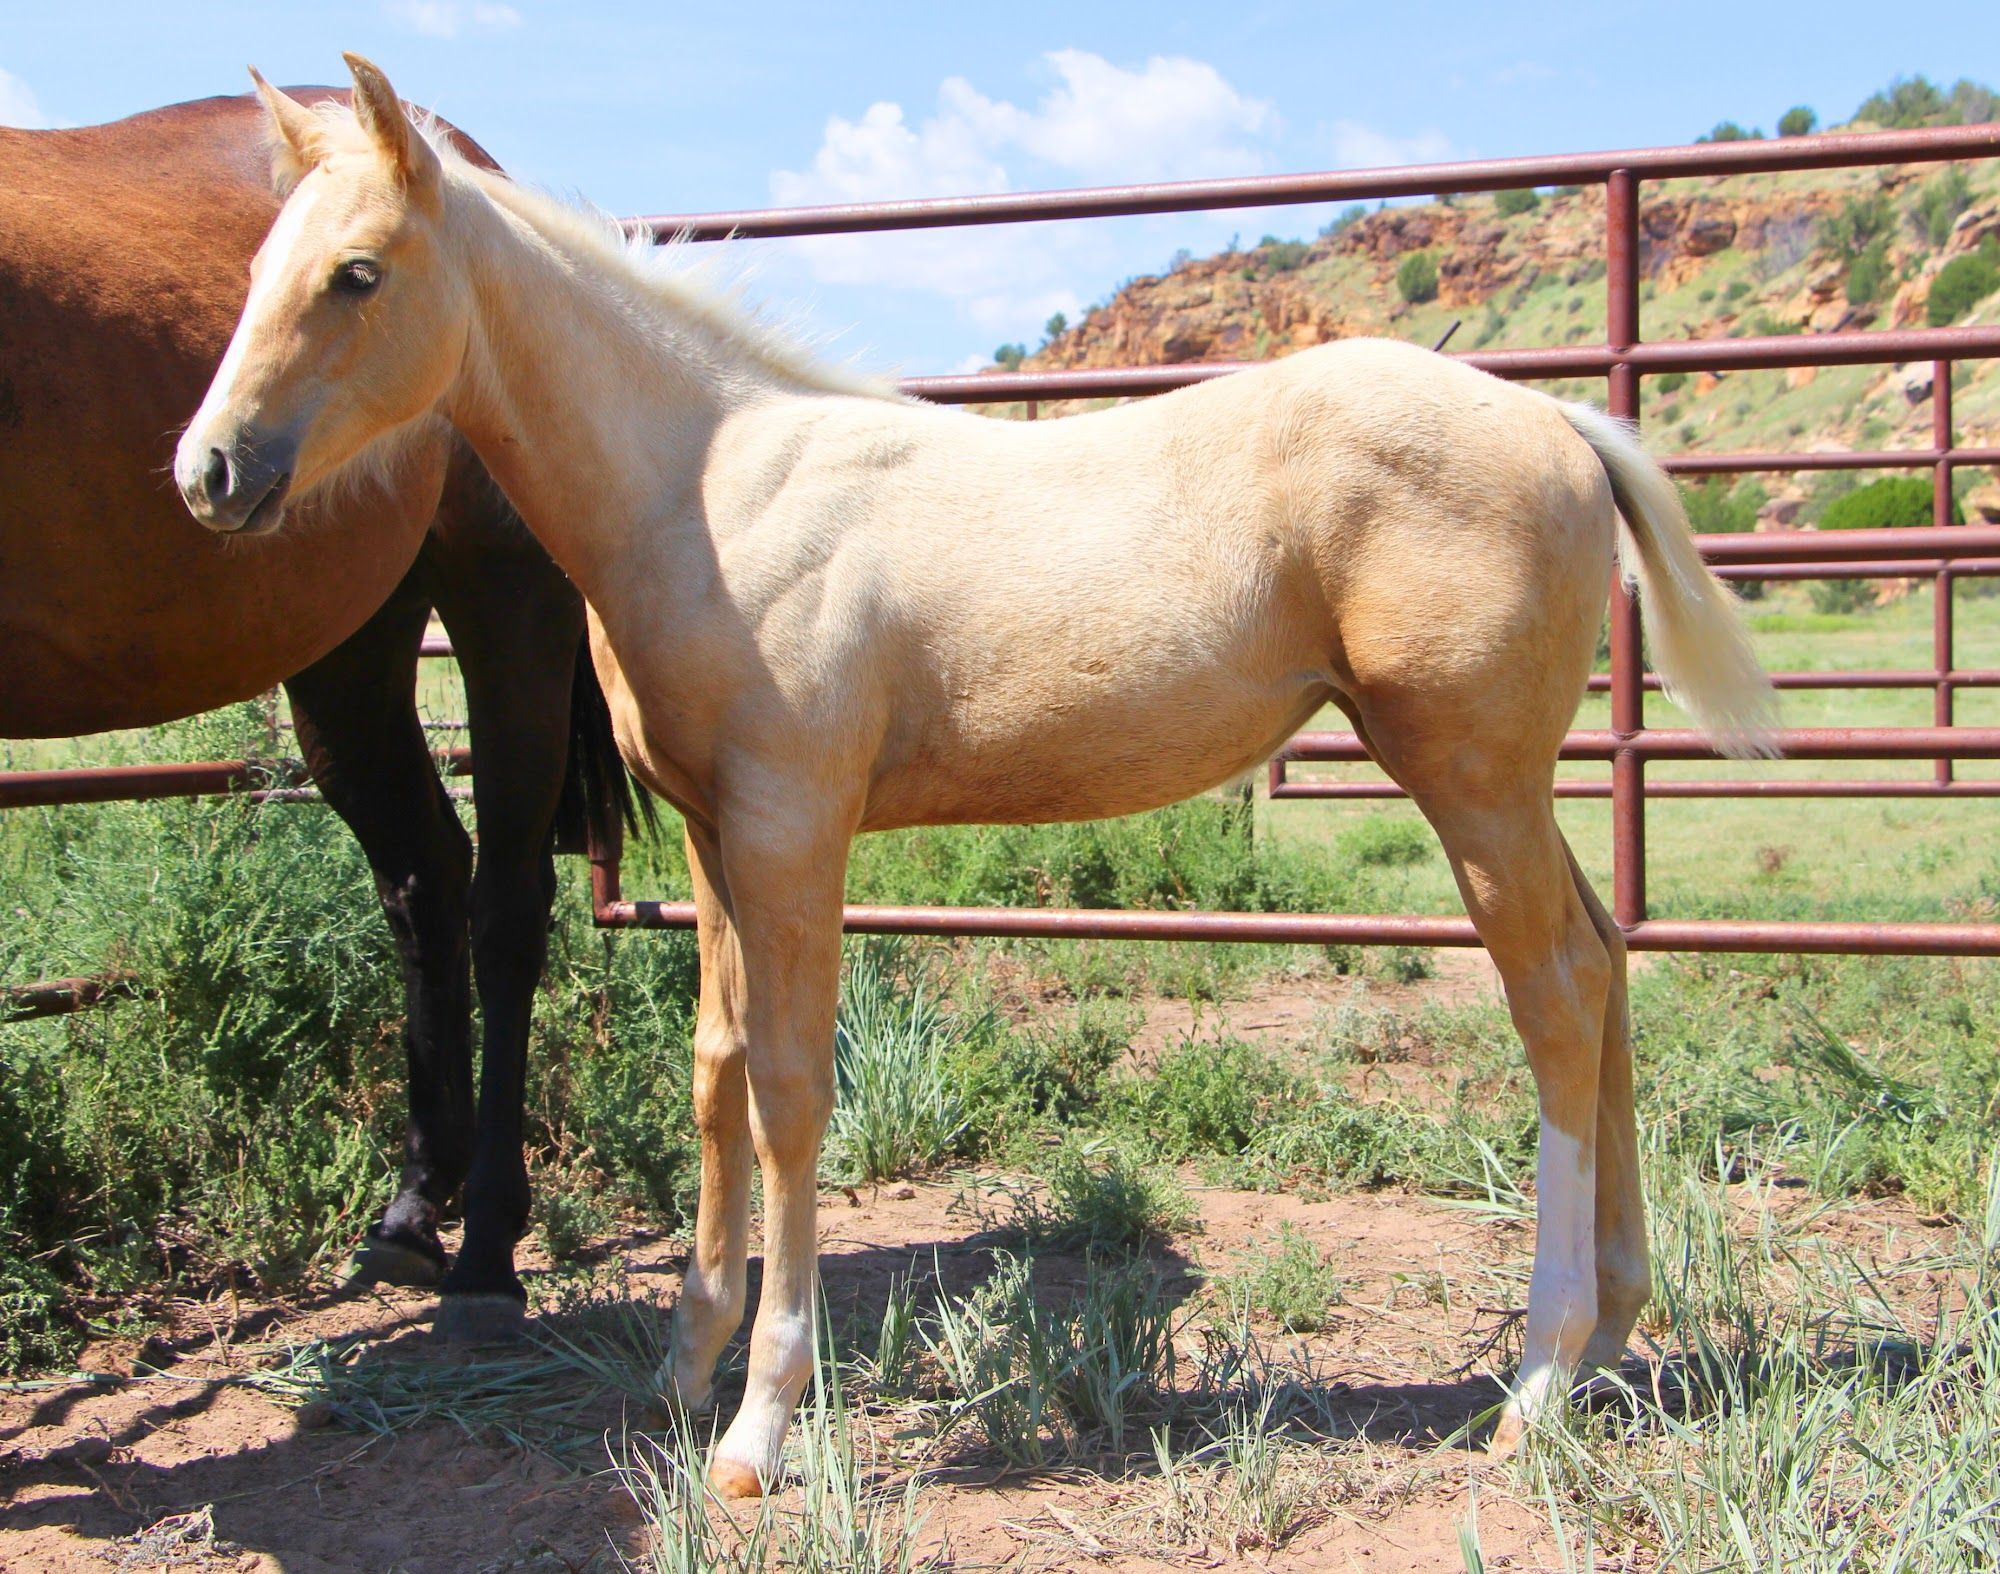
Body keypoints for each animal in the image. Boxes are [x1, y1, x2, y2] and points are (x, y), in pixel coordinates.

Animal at [0, 86, 645, 1339]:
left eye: (353, 276)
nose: (206, 472)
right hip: (351, 643)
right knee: (424, 876)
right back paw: (412, 1206)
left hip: (504, 598)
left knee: (504, 901)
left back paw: (485, 1243)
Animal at [178, 56, 1777, 1496]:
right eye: (260, 264)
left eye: (358, 275)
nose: (207, 472)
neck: (708, 491)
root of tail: (1560, 419)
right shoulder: (707, 835)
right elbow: (713, 1069)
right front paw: (685, 1365)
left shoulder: (793, 826)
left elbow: (789, 1085)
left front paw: (759, 1424)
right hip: (1502, 784)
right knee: (1606, 960)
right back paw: (1614, 1329)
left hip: (1467, 772)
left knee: (1555, 996)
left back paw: (1539, 1380)